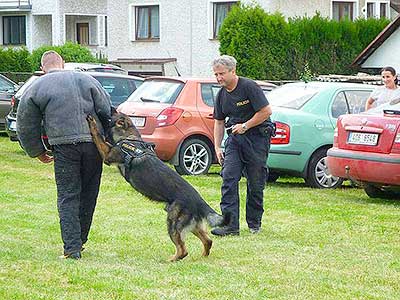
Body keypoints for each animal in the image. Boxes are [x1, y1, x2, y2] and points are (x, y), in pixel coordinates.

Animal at [85, 111, 227, 262]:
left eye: (110, 116)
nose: (109, 109)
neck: (129, 137)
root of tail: (199, 201)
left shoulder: (107, 154)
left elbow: (98, 136)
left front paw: (92, 122)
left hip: (173, 223)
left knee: (183, 250)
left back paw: (171, 260)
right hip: (192, 225)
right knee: (208, 241)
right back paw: (202, 257)